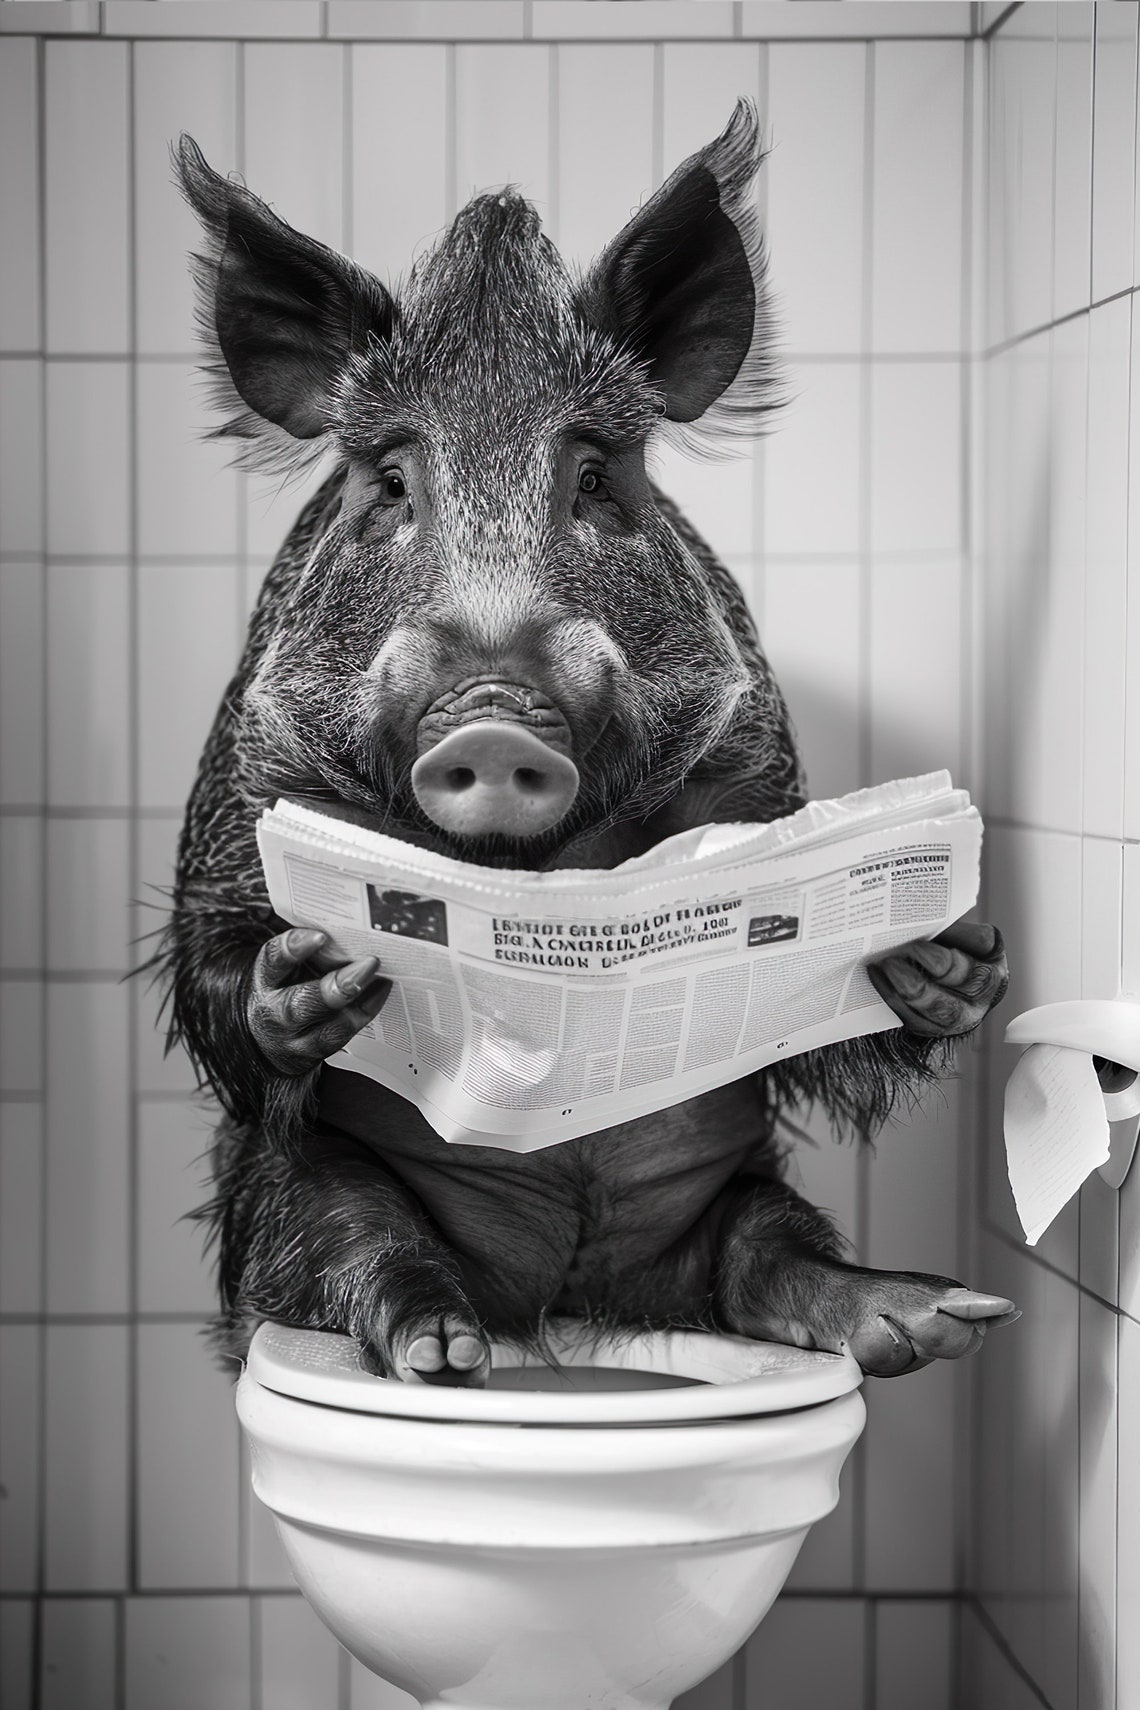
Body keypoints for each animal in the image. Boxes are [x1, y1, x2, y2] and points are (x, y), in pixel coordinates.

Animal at [161, 104, 1014, 1388]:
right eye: (391, 483)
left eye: (599, 480)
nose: (493, 708)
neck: (529, 867)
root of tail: (557, 1299)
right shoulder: (239, 795)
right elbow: (218, 956)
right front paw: (311, 971)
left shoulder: (756, 774)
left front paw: (943, 954)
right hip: (297, 1197)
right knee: (360, 1245)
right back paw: (443, 1351)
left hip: (739, 1197)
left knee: (763, 1251)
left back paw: (927, 1318)